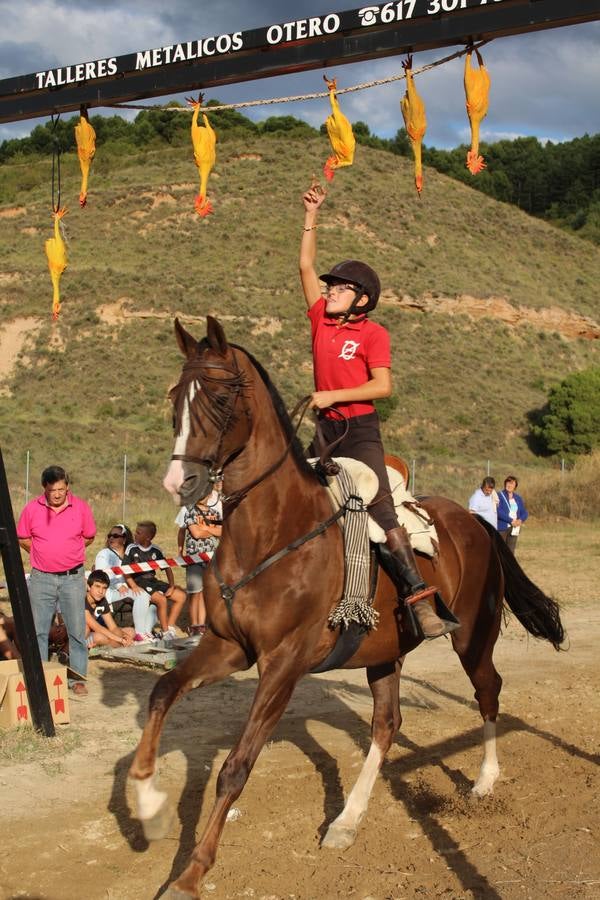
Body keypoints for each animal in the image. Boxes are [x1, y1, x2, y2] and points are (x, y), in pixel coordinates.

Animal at [129, 314, 564, 892]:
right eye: (175, 398)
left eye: (220, 399)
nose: (181, 483)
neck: (273, 530)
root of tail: (475, 520)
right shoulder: (227, 647)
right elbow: (162, 692)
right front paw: (149, 807)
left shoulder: (283, 664)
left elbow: (235, 767)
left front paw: (191, 874)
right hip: (385, 652)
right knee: (386, 724)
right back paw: (347, 820)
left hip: (473, 636)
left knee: (488, 690)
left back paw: (485, 780)